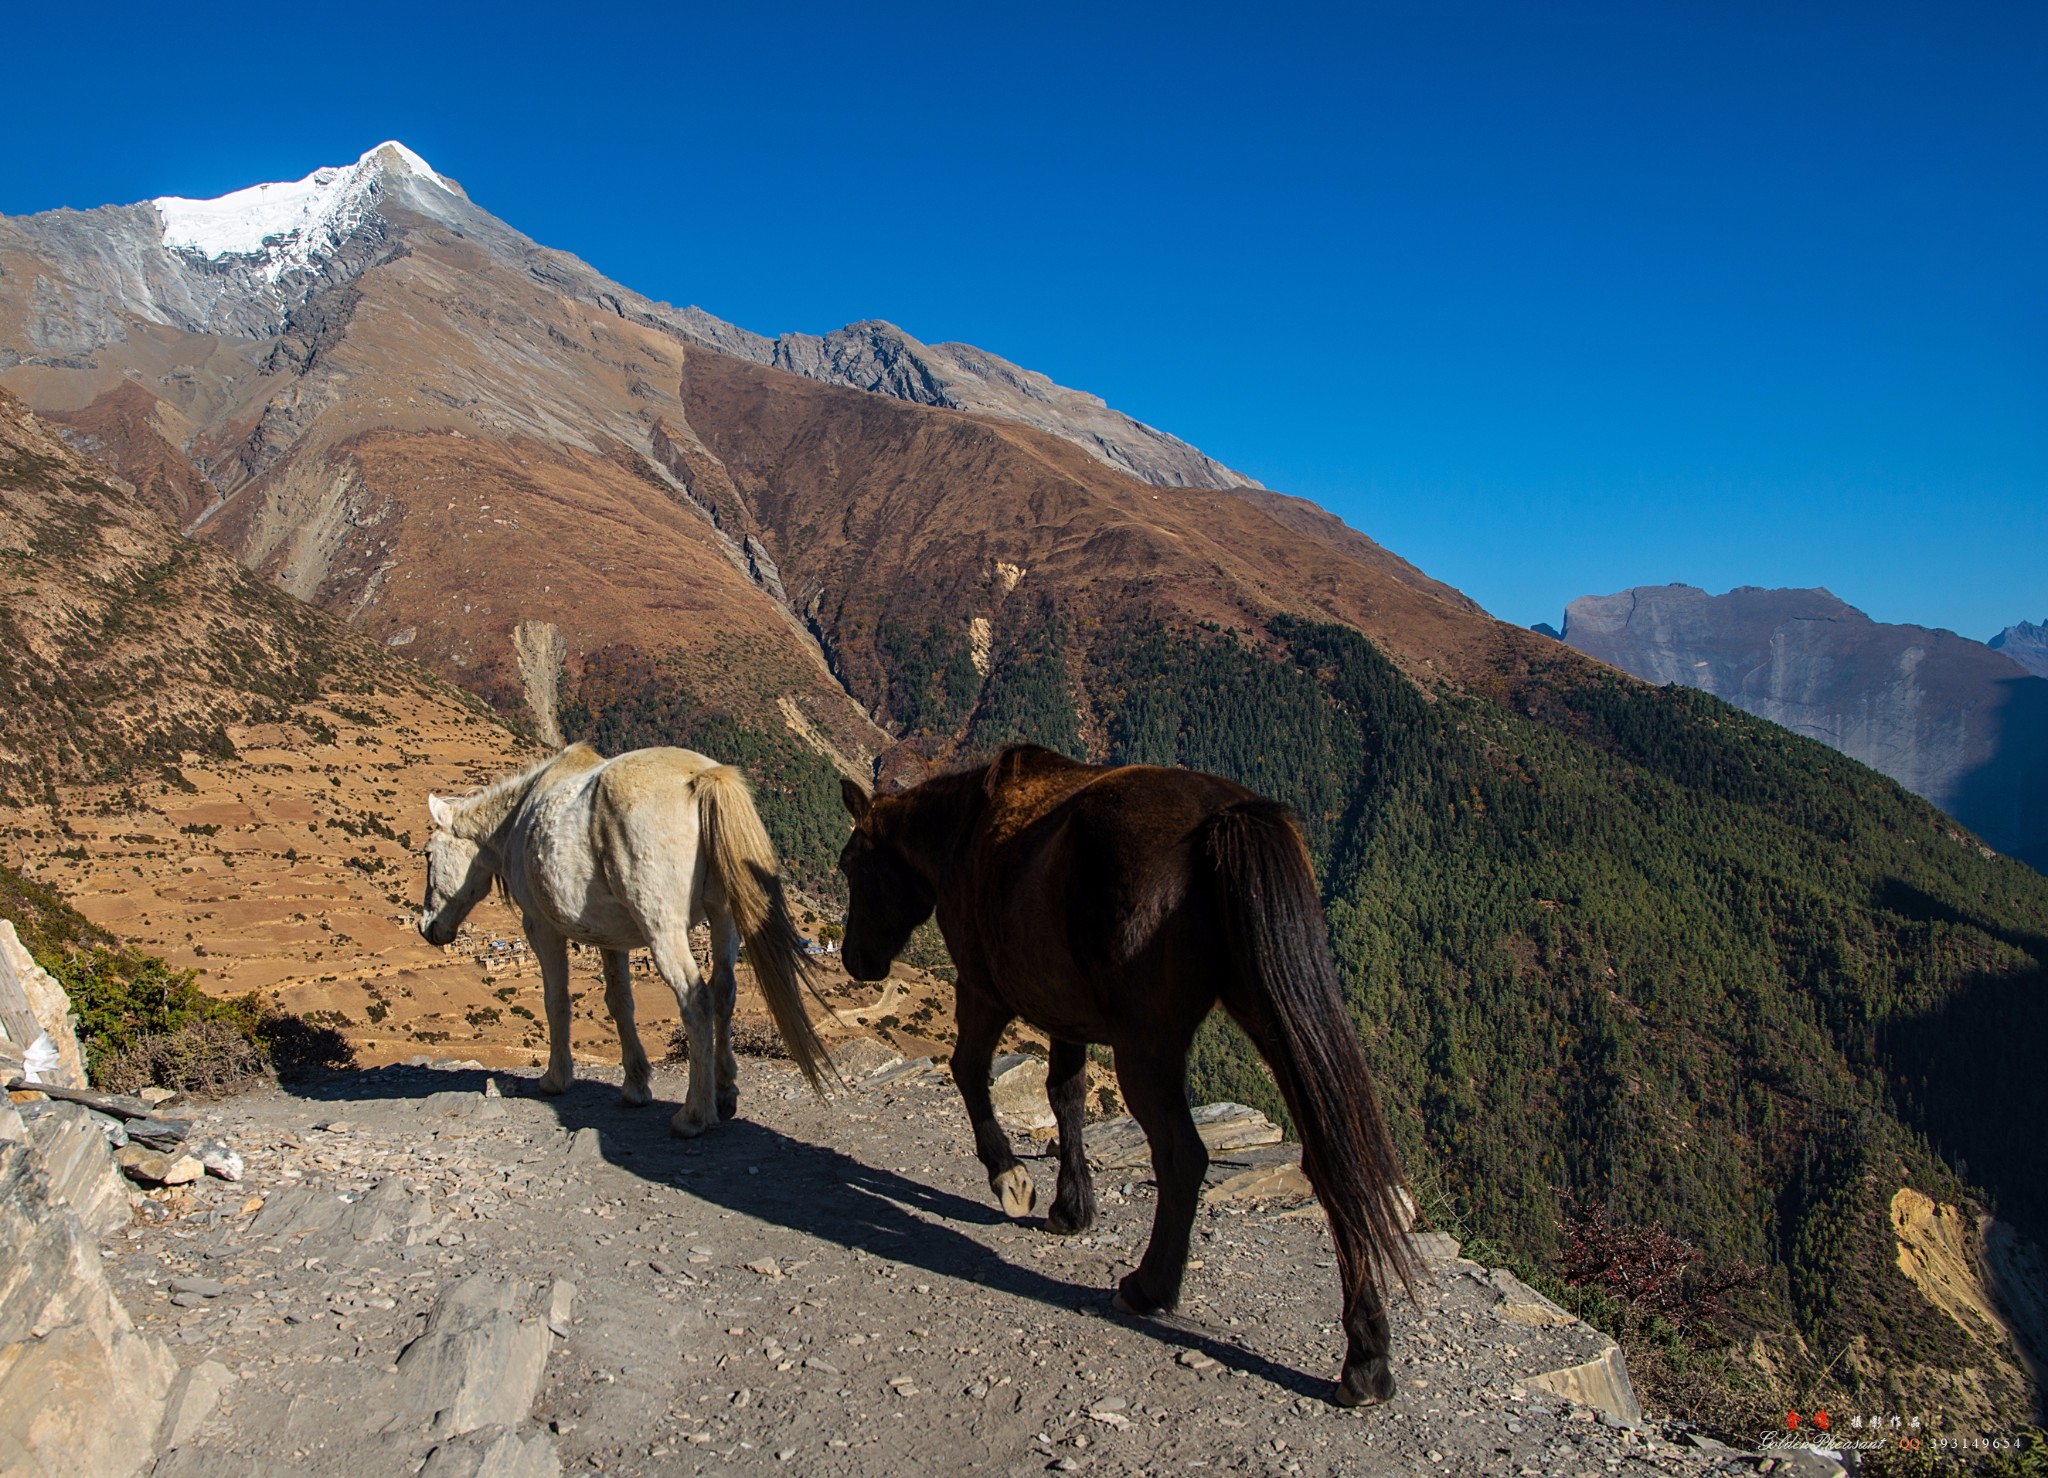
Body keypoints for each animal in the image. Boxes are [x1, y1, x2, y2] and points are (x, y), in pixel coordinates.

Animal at [411, 741, 827, 1138]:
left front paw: (556, 1078)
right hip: (723, 914)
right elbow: (619, 1002)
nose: (427, 927)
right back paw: (724, 1095)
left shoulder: (541, 927)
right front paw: (635, 1085)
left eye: (428, 854)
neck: (517, 819)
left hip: (663, 927)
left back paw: (694, 1115)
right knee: (724, 990)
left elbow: (556, 1001)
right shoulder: (609, 938)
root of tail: (702, 778)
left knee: (697, 1000)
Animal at [839, 741, 1417, 1400]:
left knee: (1183, 1154)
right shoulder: (1063, 1016)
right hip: (1271, 1018)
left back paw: (1149, 1287)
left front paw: (1010, 1176)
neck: (966, 830)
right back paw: (1366, 1356)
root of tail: (1226, 818)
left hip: (1149, 1047)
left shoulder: (983, 990)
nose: (856, 960)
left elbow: (969, 1071)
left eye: (851, 865)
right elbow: (1064, 1096)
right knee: (1331, 1159)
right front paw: (1071, 1207)